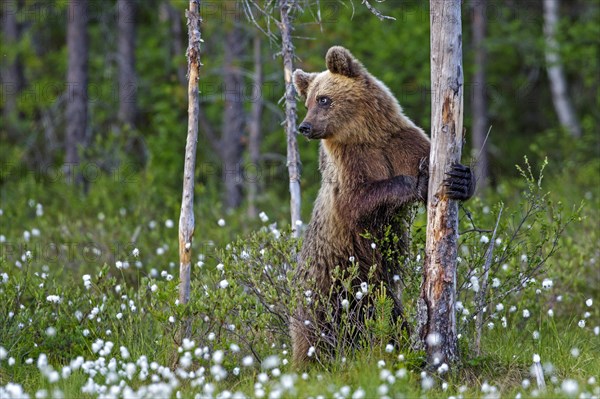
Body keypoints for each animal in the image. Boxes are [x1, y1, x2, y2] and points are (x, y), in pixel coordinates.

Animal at [290, 46, 474, 366]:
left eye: (323, 99)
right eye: (308, 100)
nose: (305, 126)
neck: (365, 135)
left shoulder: (400, 142)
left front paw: (461, 179)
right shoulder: (349, 165)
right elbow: (356, 200)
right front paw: (419, 182)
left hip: (373, 289)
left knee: (390, 315)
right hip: (325, 284)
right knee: (315, 330)